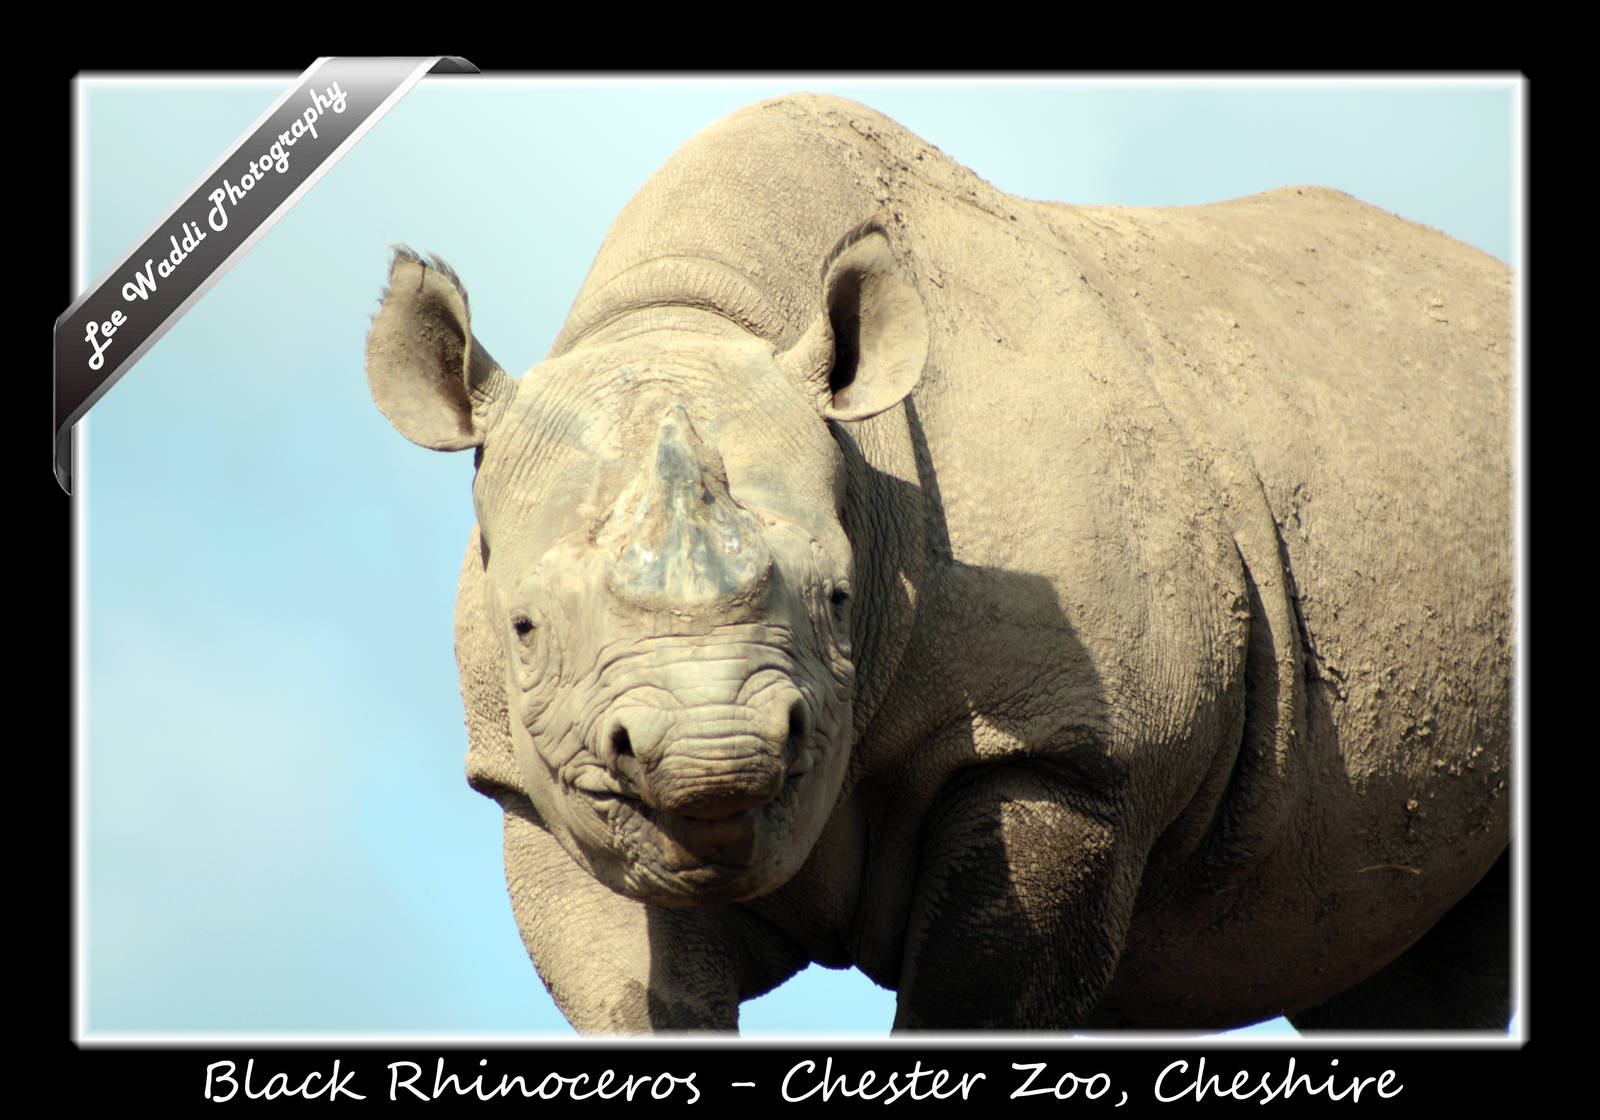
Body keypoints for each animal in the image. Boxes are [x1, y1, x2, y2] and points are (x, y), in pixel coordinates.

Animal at [364, 94, 1512, 1032]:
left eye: (838, 600)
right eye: (523, 629)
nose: (713, 757)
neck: (693, 315)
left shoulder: (1066, 749)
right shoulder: (534, 786)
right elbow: (640, 995)